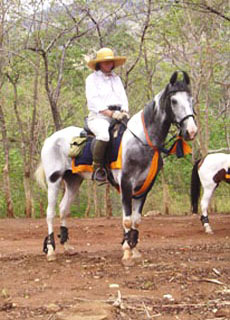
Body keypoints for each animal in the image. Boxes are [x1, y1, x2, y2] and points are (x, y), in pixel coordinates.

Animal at [35, 71, 197, 266]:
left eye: (191, 99)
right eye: (174, 101)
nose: (191, 131)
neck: (141, 140)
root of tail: (50, 139)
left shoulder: (144, 187)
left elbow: (136, 220)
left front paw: (134, 250)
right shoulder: (126, 184)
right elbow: (127, 220)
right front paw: (127, 253)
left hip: (73, 180)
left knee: (63, 209)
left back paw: (67, 246)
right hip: (54, 180)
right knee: (50, 212)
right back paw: (51, 250)